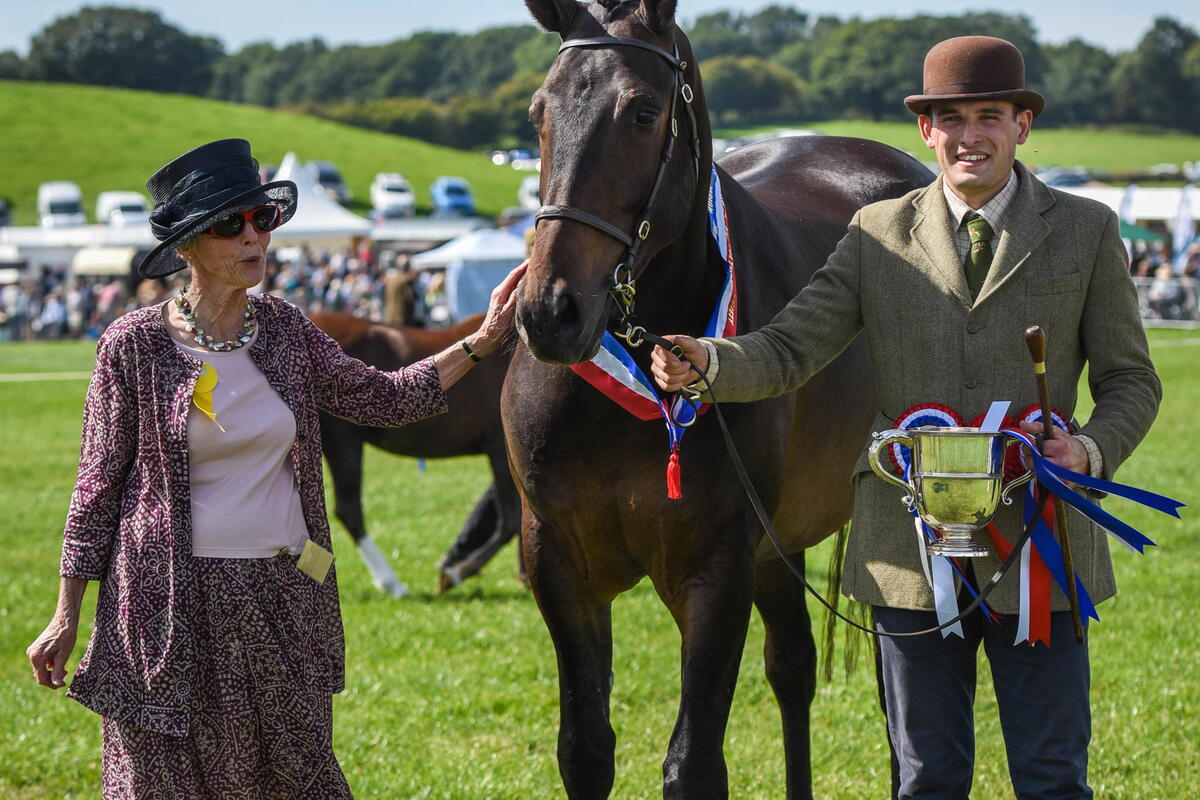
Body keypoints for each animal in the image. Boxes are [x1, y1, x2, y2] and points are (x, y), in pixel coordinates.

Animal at [311, 312, 521, 596]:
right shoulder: (499, 448)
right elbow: (510, 521)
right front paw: (454, 574)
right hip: (344, 441)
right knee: (349, 510)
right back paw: (392, 583)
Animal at [501, 1, 933, 797]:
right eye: (539, 112)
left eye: (643, 111)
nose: (550, 312)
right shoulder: (560, 565)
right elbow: (585, 749)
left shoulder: (718, 569)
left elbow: (694, 762)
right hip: (779, 545)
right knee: (793, 668)